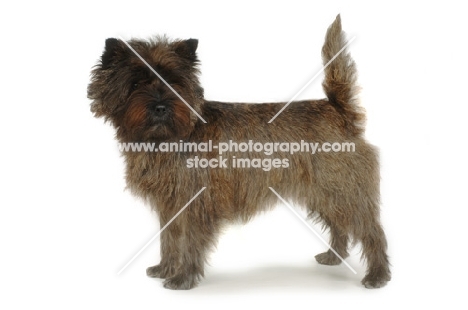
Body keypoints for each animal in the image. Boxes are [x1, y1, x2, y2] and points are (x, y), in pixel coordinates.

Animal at [88, 14, 392, 290]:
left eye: (175, 83)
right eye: (136, 83)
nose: (161, 107)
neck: (168, 138)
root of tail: (338, 108)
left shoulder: (195, 204)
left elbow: (188, 241)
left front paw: (182, 278)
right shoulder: (171, 205)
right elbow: (169, 239)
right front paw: (165, 268)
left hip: (344, 190)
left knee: (372, 230)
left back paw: (377, 275)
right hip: (324, 193)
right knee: (340, 225)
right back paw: (333, 256)